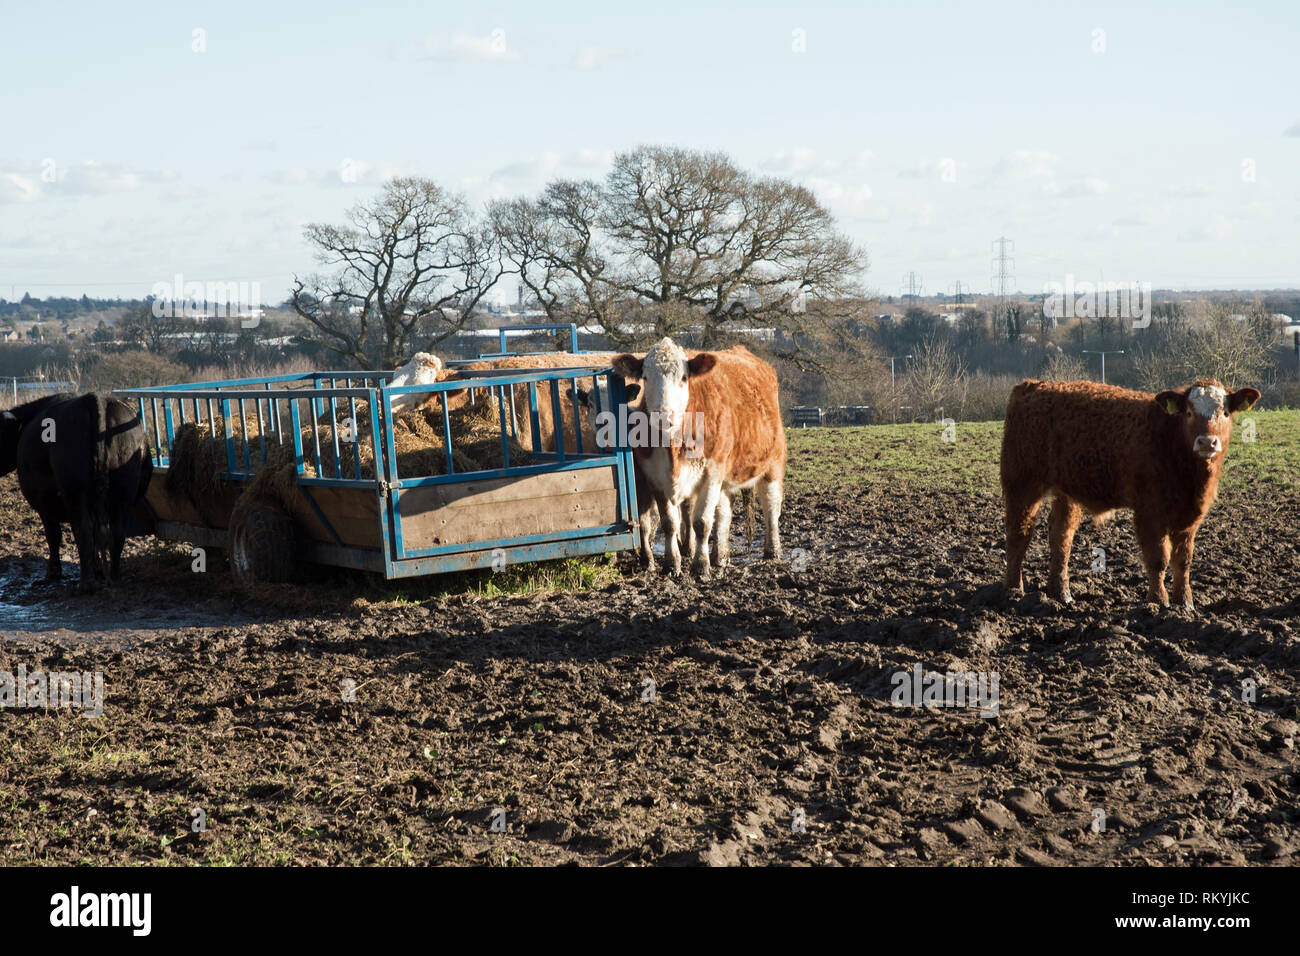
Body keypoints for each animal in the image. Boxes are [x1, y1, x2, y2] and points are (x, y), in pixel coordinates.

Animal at [1, 390, 154, 590]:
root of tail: (94, 398)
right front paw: (98, 569)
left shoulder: (43, 505)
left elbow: (53, 535)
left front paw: (53, 573)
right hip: (124, 492)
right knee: (116, 532)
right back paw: (113, 578)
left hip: (75, 493)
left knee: (83, 530)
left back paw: (87, 583)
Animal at [613, 338, 785, 574]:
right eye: (646, 377)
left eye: (684, 377)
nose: (664, 414)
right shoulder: (655, 477)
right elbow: (670, 523)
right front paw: (672, 564)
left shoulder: (712, 473)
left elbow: (701, 523)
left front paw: (701, 567)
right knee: (724, 514)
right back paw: (720, 557)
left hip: (772, 463)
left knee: (771, 505)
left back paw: (772, 551)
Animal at [998, 377, 1253, 608]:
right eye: (1189, 412)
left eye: (1225, 413)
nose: (1207, 442)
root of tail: (1032, 384)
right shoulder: (1148, 512)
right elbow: (1158, 559)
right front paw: (1158, 601)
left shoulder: (1190, 516)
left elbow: (1183, 560)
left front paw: (1185, 602)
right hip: (1022, 483)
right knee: (1019, 533)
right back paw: (1013, 589)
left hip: (1066, 493)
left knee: (1061, 537)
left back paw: (1061, 593)